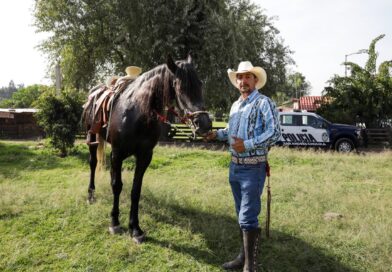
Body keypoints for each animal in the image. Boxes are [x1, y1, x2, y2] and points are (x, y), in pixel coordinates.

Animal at [81, 54, 213, 242]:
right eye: (180, 86)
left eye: (200, 83)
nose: (205, 124)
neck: (137, 113)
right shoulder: (118, 153)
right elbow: (117, 185)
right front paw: (114, 222)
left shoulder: (144, 156)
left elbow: (135, 190)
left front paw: (135, 228)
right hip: (92, 138)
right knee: (93, 164)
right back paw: (91, 195)